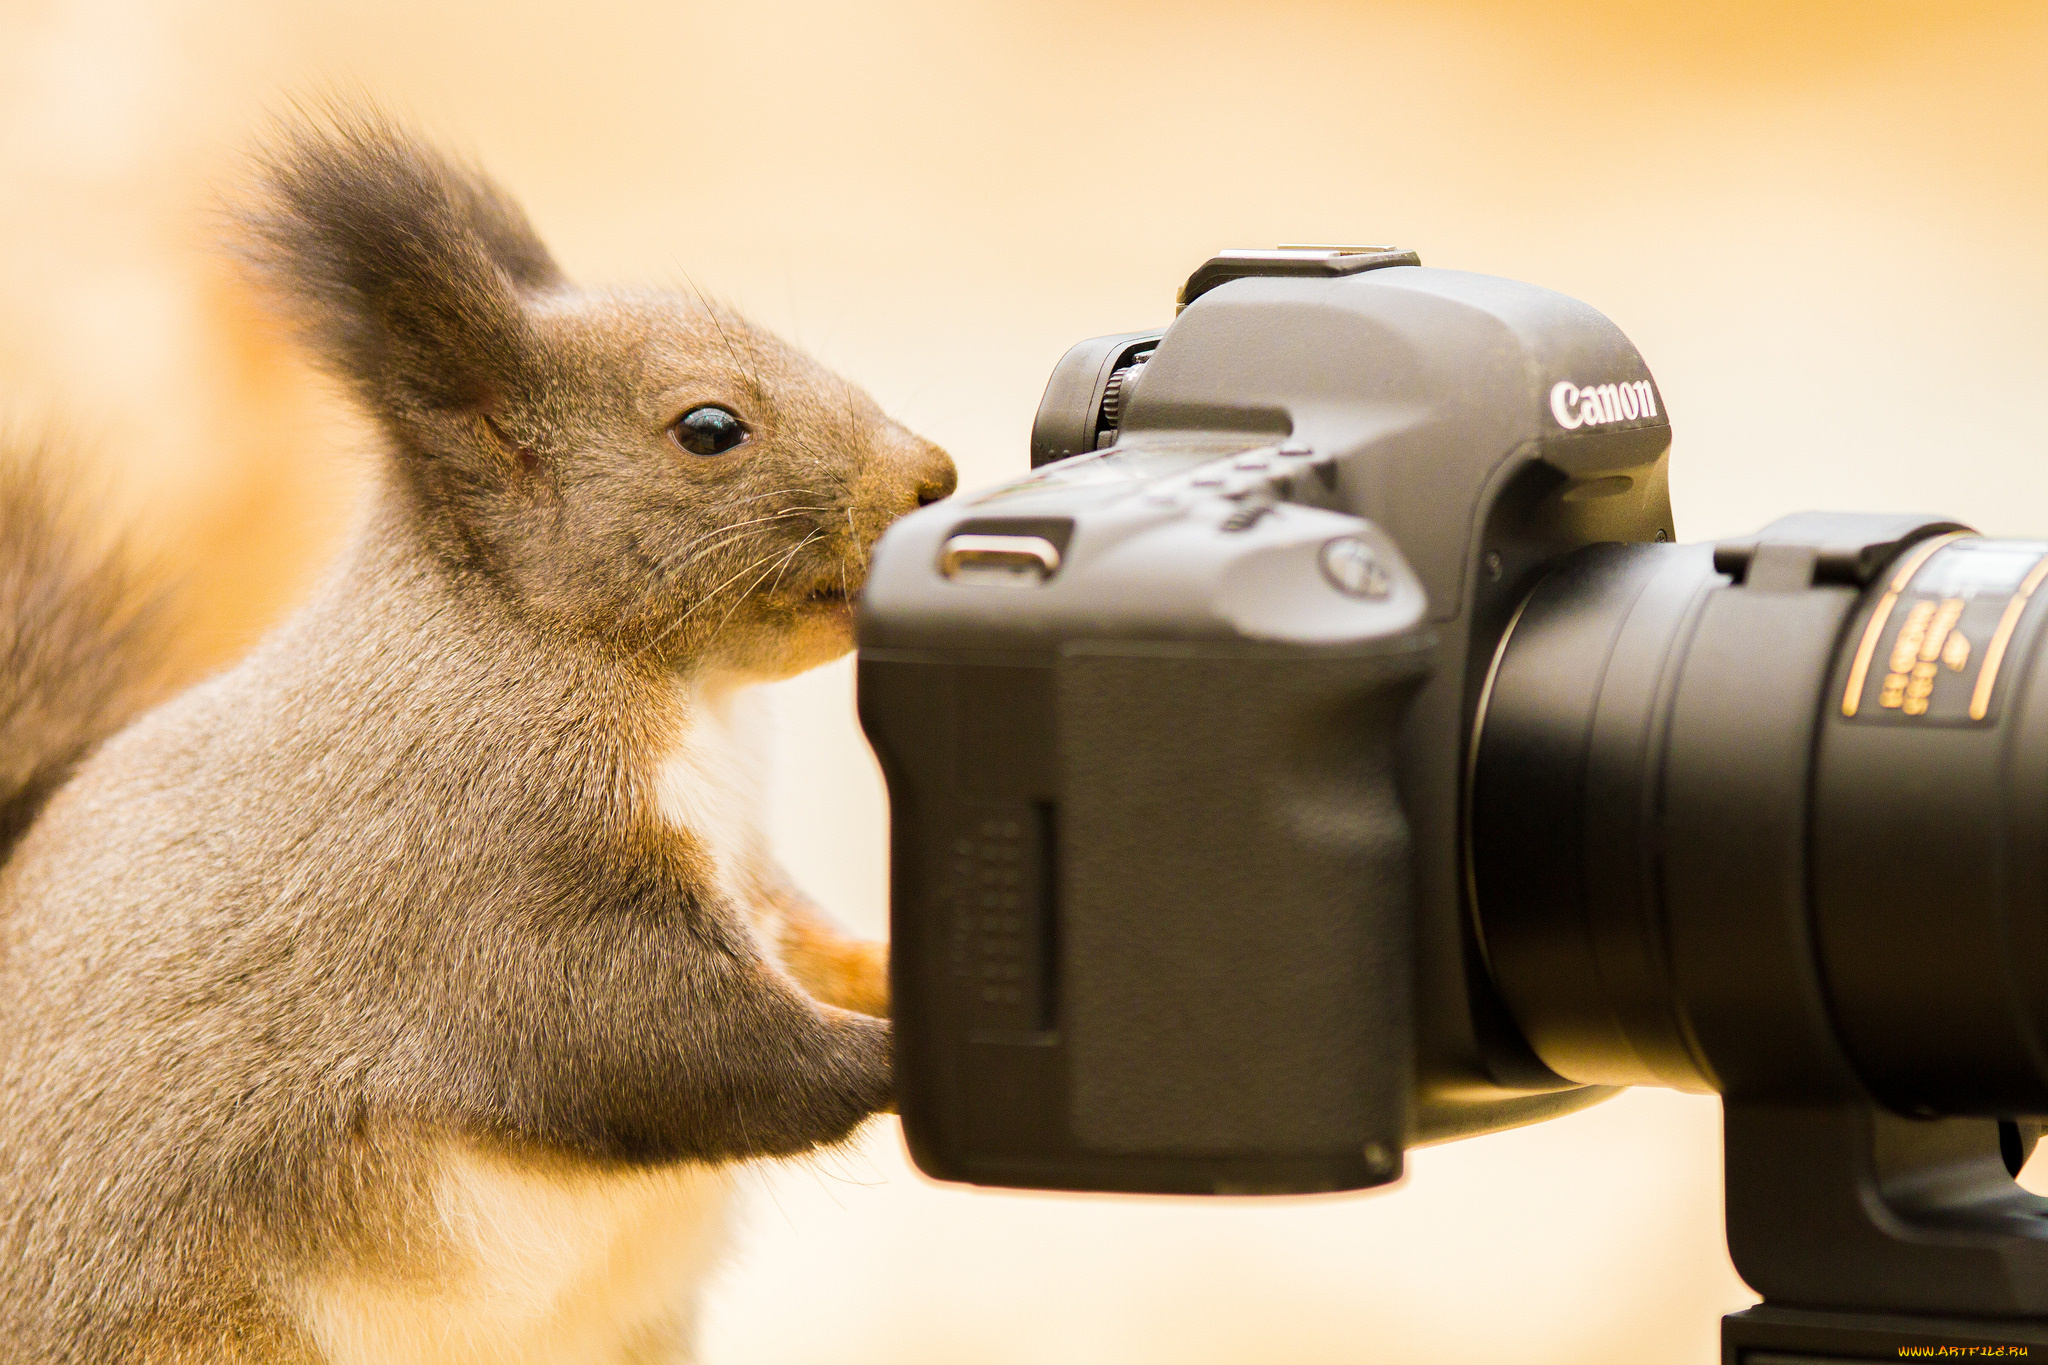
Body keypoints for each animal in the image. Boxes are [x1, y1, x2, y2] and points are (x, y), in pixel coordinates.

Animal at [0, 113, 955, 1363]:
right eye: (708, 430)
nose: (934, 476)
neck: (687, 697)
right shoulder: (504, 881)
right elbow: (679, 1047)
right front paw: (895, 1061)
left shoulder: (743, 861)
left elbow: (808, 948)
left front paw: (895, 973)